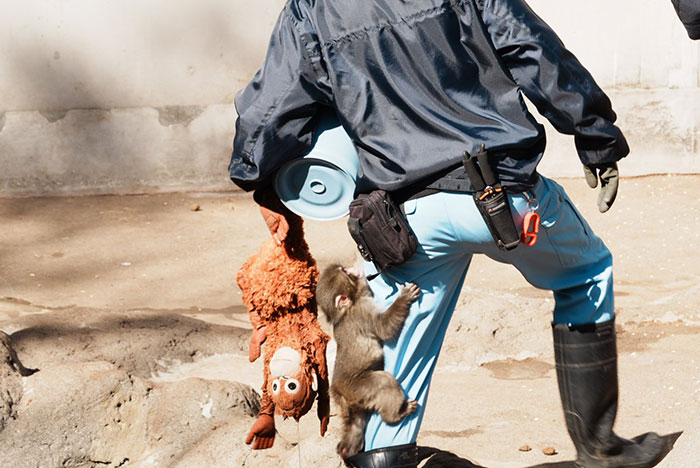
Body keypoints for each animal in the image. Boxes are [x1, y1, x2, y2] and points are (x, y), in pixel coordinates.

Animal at [316, 263, 421, 459]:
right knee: (384, 382)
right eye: (345, 272)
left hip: (355, 400)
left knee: (356, 425)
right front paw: (404, 297)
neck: (345, 311)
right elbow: (384, 327)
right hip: (358, 387)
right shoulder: (363, 311)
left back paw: (348, 450)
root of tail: (338, 391)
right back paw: (397, 414)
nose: (349, 268)